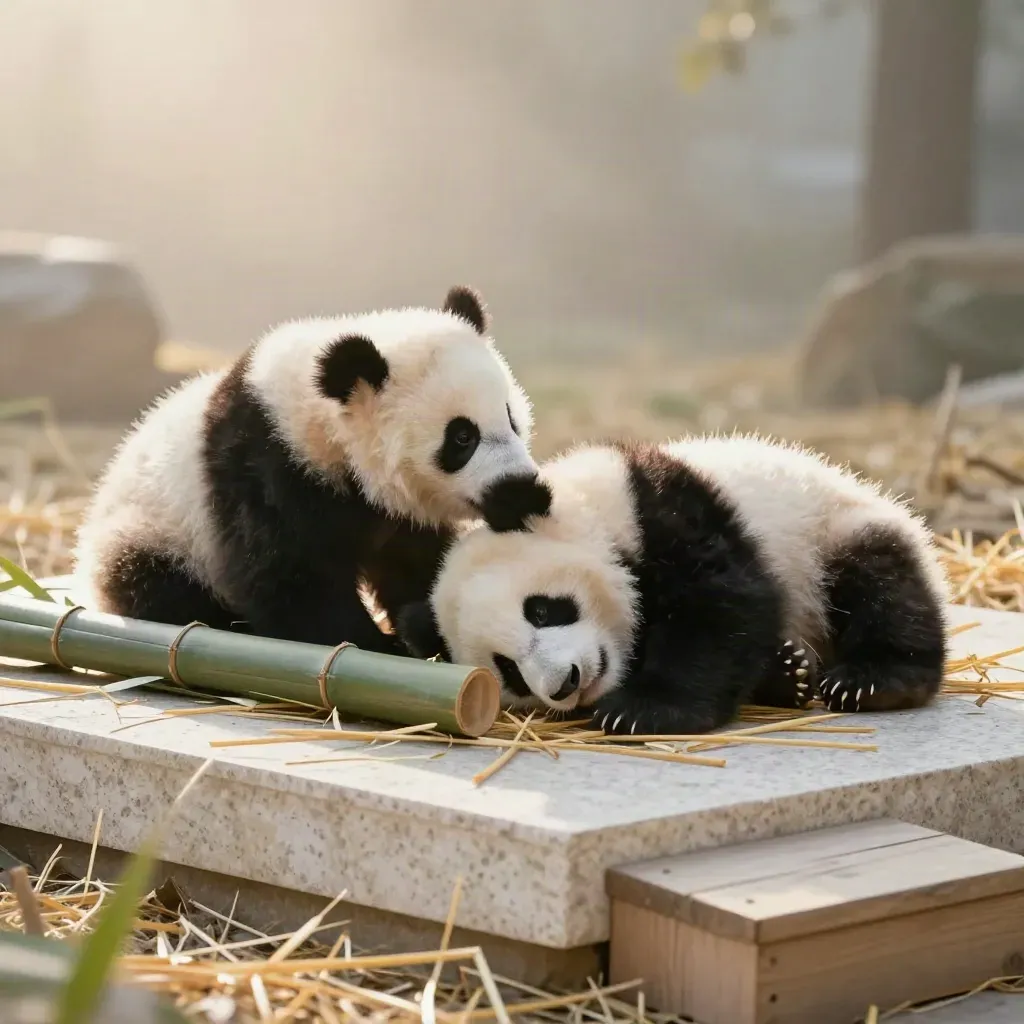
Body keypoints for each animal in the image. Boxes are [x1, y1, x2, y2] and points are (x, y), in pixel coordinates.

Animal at [72, 286, 549, 654]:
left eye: (512, 418)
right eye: (461, 438)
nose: (520, 487)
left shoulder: (400, 511)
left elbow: (417, 562)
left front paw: (425, 625)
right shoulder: (268, 468)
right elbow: (286, 577)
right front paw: (377, 644)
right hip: (154, 532)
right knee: (153, 583)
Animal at [396, 434, 952, 735]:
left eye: (542, 610)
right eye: (508, 670)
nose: (563, 684)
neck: (591, 511)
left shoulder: (667, 514)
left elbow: (718, 606)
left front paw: (644, 710)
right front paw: (783, 672)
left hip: (826, 530)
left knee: (880, 583)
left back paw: (871, 679)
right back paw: (791, 671)